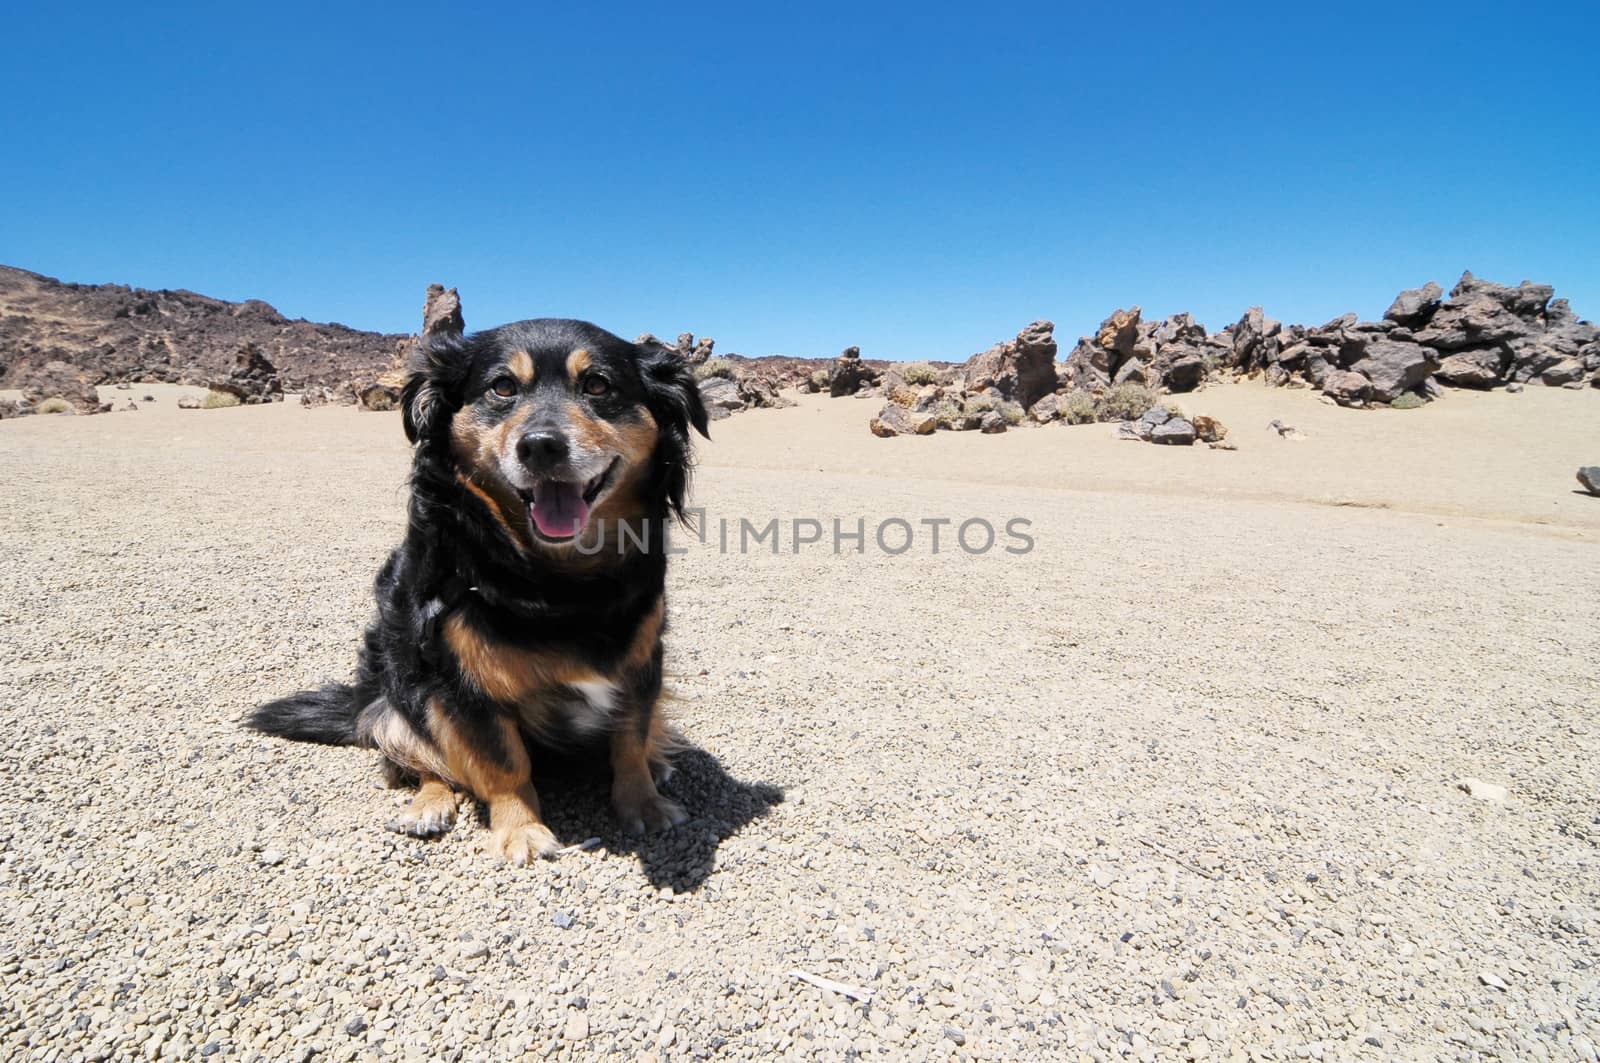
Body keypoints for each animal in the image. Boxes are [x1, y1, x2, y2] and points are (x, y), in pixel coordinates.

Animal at [248, 316, 707, 864]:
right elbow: (502, 762)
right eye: (502, 387)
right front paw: (521, 831)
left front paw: (645, 803)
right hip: (401, 692)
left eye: (597, 385)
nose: (541, 445)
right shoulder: (460, 679)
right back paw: (428, 805)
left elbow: (631, 739)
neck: (558, 579)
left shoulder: (641, 658)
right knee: (419, 757)